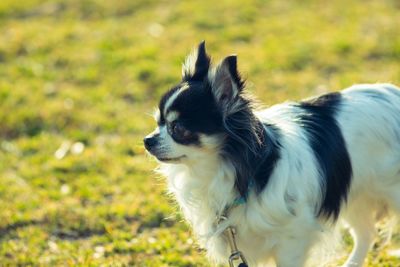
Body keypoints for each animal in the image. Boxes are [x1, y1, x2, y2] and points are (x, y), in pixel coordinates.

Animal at [144, 40, 400, 266]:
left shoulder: (292, 240)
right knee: (366, 234)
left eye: (178, 129)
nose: (147, 140)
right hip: (356, 195)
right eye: (158, 122)